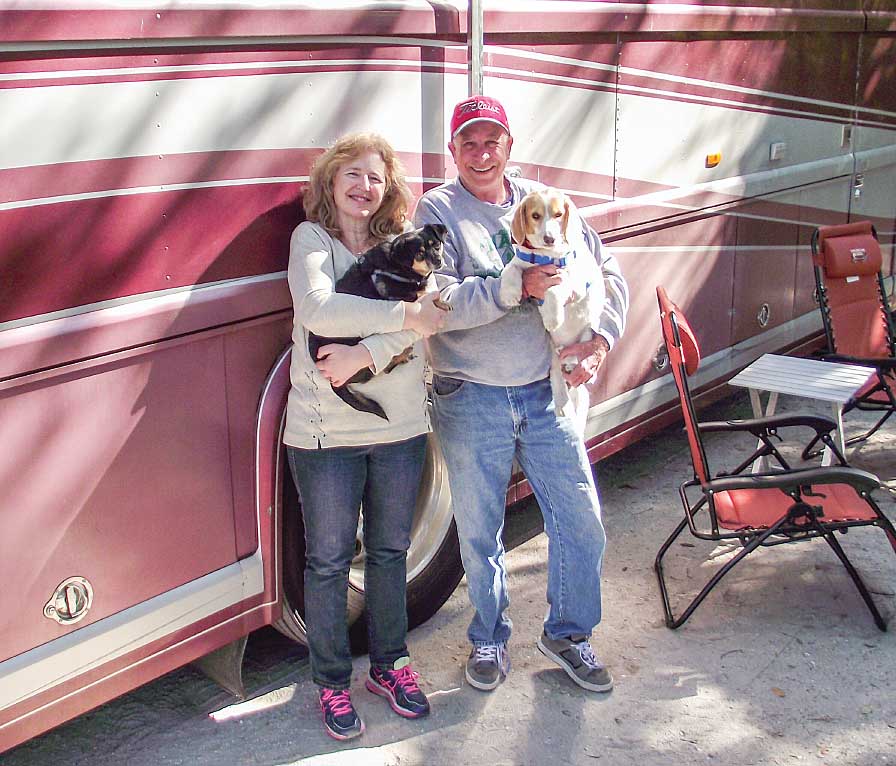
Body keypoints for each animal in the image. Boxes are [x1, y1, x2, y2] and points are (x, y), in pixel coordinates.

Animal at [308, 224, 448, 420]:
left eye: (436, 245)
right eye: (420, 254)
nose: (438, 260)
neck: (397, 265)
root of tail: (333, 382)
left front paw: (441, 301)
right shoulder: (400, 296)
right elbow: (423, 295)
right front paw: (437, 301)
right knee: (383, 369)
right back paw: (402, 355)